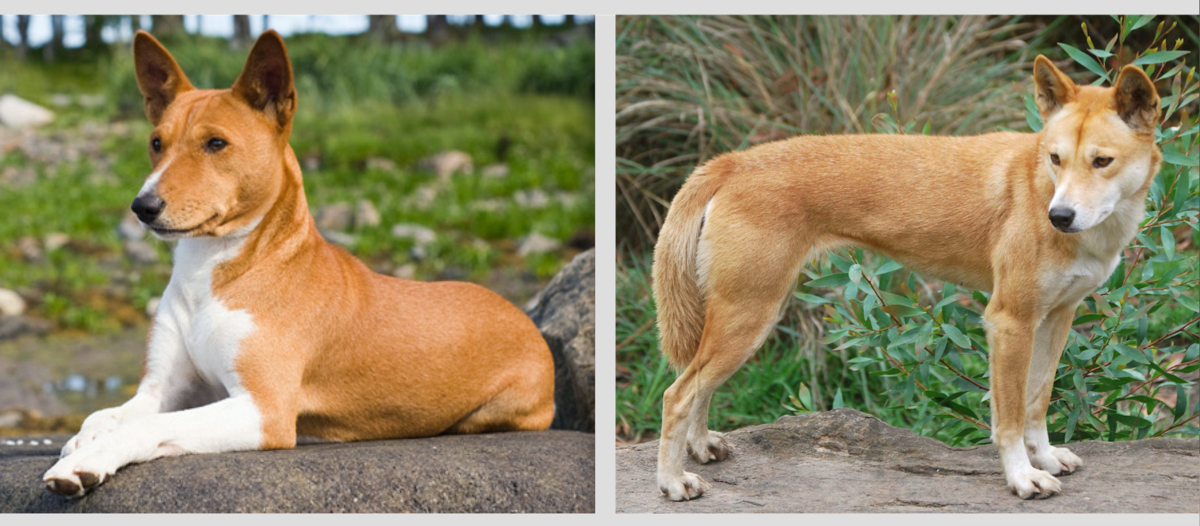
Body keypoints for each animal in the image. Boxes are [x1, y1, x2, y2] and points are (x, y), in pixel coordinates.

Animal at [41, 29, 556, 497]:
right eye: (155, 143)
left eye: (215, 144)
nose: (142, 207)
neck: (211, 274)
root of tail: (521, 314)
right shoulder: (162, 391)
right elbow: (104, 415)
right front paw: (85, 439)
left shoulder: (262, 409)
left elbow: (143, 428)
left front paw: (89, 460)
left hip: (497, 410)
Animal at [652, 56, 1156, 501]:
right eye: (1055, 158)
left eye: (1101, 161)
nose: (1059, 216)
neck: (1040, 188)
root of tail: (734, 160)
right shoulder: (1010, 321)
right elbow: (1010, 419)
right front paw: (1022, 477)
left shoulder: (1055, 318)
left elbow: (1037, 402)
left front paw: (1045, 458)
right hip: (749, 318)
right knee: (678, 394)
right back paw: (673, 482)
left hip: (747, 317)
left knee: (698, 387)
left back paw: (700, 447)